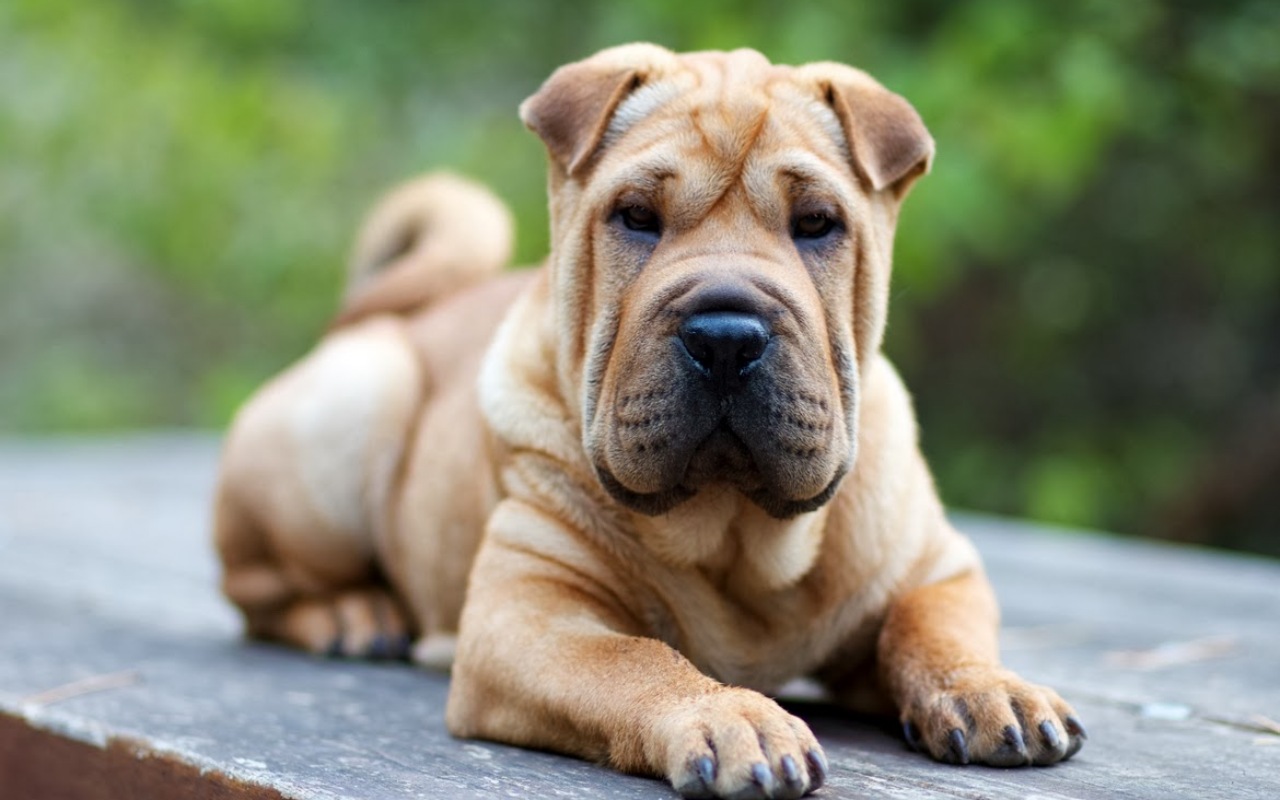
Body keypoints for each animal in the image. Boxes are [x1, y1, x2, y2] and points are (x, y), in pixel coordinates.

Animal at [215, 45, 1085, 798]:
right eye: (636, 216)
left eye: (817, 224)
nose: (726, 337)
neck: (739, 537)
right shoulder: (527, 614)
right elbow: (635, 659)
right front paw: (733, 718)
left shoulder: (931, 566)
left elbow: (934, 629)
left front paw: (990, 689)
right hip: (351, 412)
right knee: (256, 588)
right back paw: (351, 612)